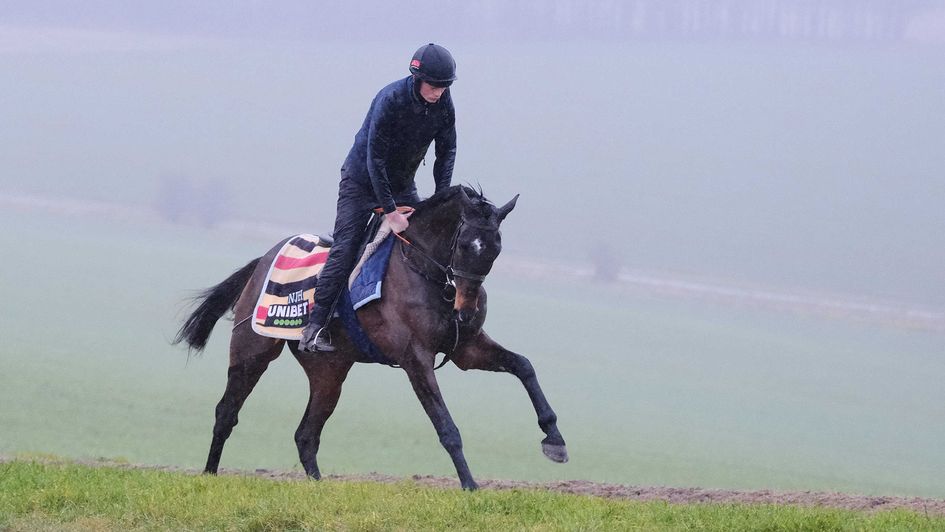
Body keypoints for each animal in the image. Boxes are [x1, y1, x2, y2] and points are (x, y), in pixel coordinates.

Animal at [173, 186, 564, 490]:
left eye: (496, 248)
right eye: (467, 244)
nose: (465, 310)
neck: (425, 272)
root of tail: (263, 260)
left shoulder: (465, 348)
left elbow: (524, 366)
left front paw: (554, 438)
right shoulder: (415, 358)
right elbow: (446, 426)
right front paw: (470, 485)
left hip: (329, 370)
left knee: (306, 434)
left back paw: (319, 487)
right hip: (252, 350)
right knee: (227, 412)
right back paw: (209, 475)